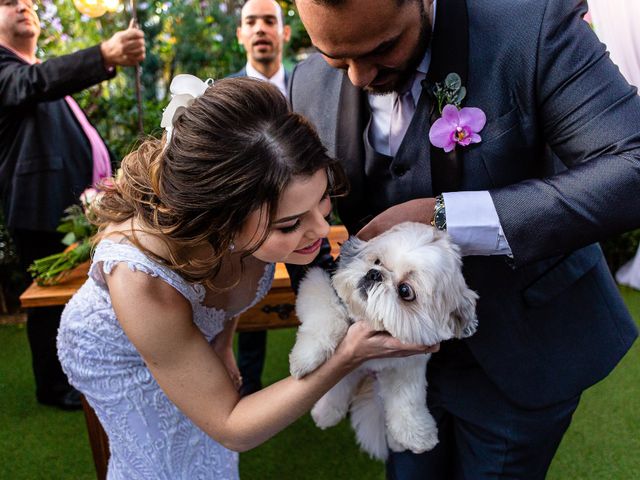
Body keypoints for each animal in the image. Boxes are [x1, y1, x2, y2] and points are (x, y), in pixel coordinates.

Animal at [288, 222, 478, 462]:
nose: (374, 274)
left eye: (405, 290)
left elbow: (407, 402)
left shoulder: (406, 366)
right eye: (377, 261)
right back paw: (326, 411)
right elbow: (329, 316)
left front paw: (416, 435)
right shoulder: (318, 280)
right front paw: (307, 356)